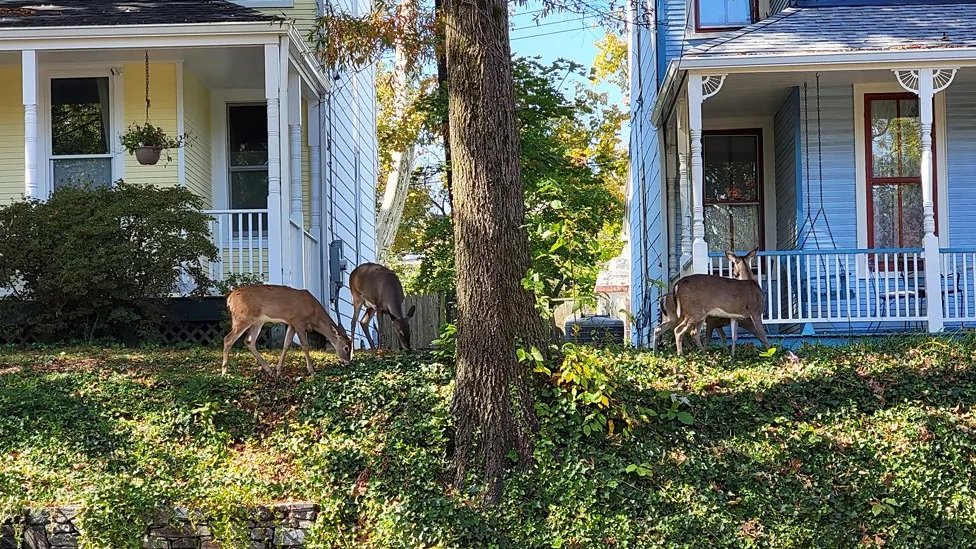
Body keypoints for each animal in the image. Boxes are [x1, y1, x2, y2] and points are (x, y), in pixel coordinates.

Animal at [219, 282, 352, 376]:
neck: (314, 315)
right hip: (243, 318)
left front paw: (278, 370)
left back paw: (269, 369)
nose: (348, 362)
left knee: (249, 341)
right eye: (346, 348)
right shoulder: (299, 321)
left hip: (257, 321)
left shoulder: (291, 323)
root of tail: (229, 298)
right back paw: (224, 371)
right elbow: (305, 345)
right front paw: (311, 371)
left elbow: (286, 344)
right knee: (228, 339)